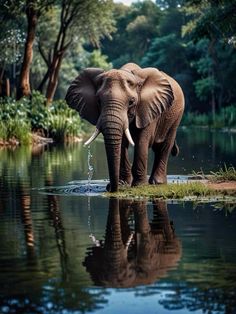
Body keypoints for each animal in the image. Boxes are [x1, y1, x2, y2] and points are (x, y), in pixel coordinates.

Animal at [65, 62, 184, 191]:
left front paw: (139, 186)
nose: (109, 188)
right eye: (98, 101)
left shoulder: (148, 108)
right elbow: (121, 143)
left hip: (176, 117)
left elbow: (141, 141)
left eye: (131, 102)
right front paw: (123, 184)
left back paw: (157, 183)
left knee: (164, 147)